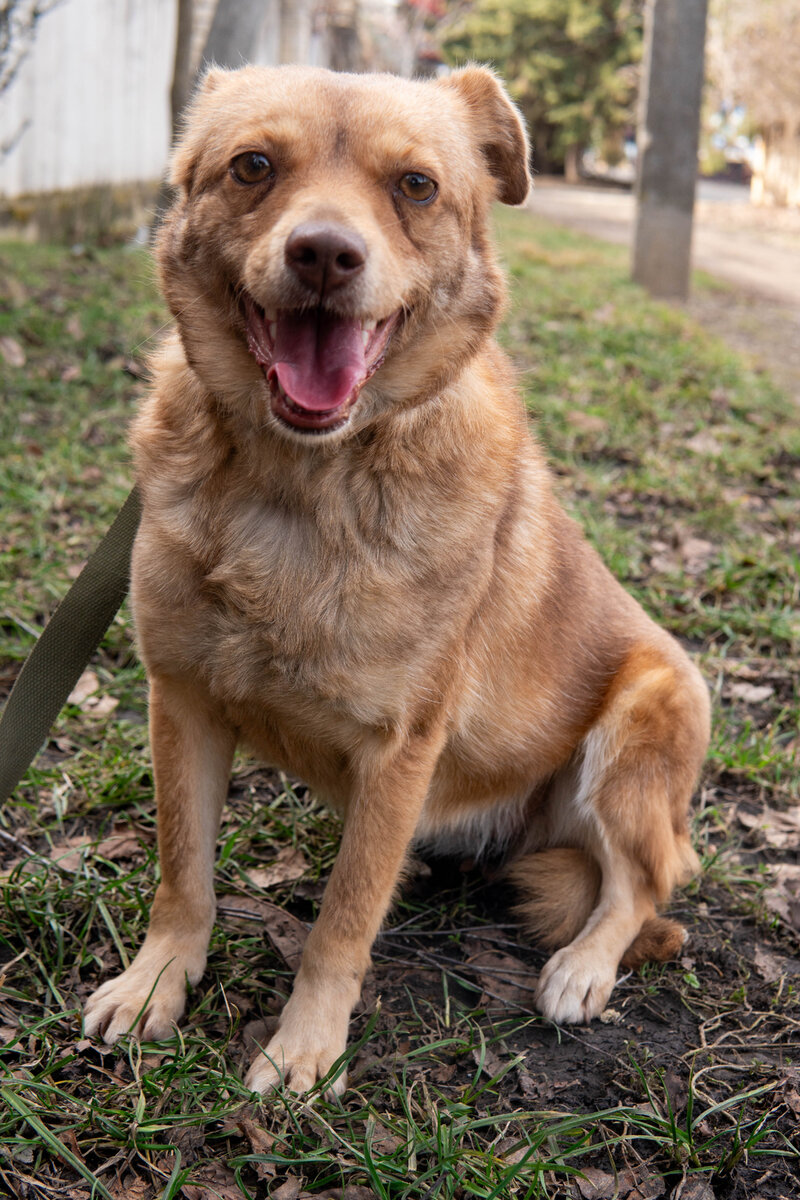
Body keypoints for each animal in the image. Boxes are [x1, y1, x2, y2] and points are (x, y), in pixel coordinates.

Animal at [86, 65, 714, 1099]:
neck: (300, 486)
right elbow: (184, 874)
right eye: (252, 166)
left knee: (640, 886)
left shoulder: (399, 749)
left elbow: (342, 922)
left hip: (646, 721)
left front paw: (306, 1045)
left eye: (416, 186)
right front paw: (155, 985)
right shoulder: (182, 701)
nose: (325, 255)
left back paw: (583, 966)